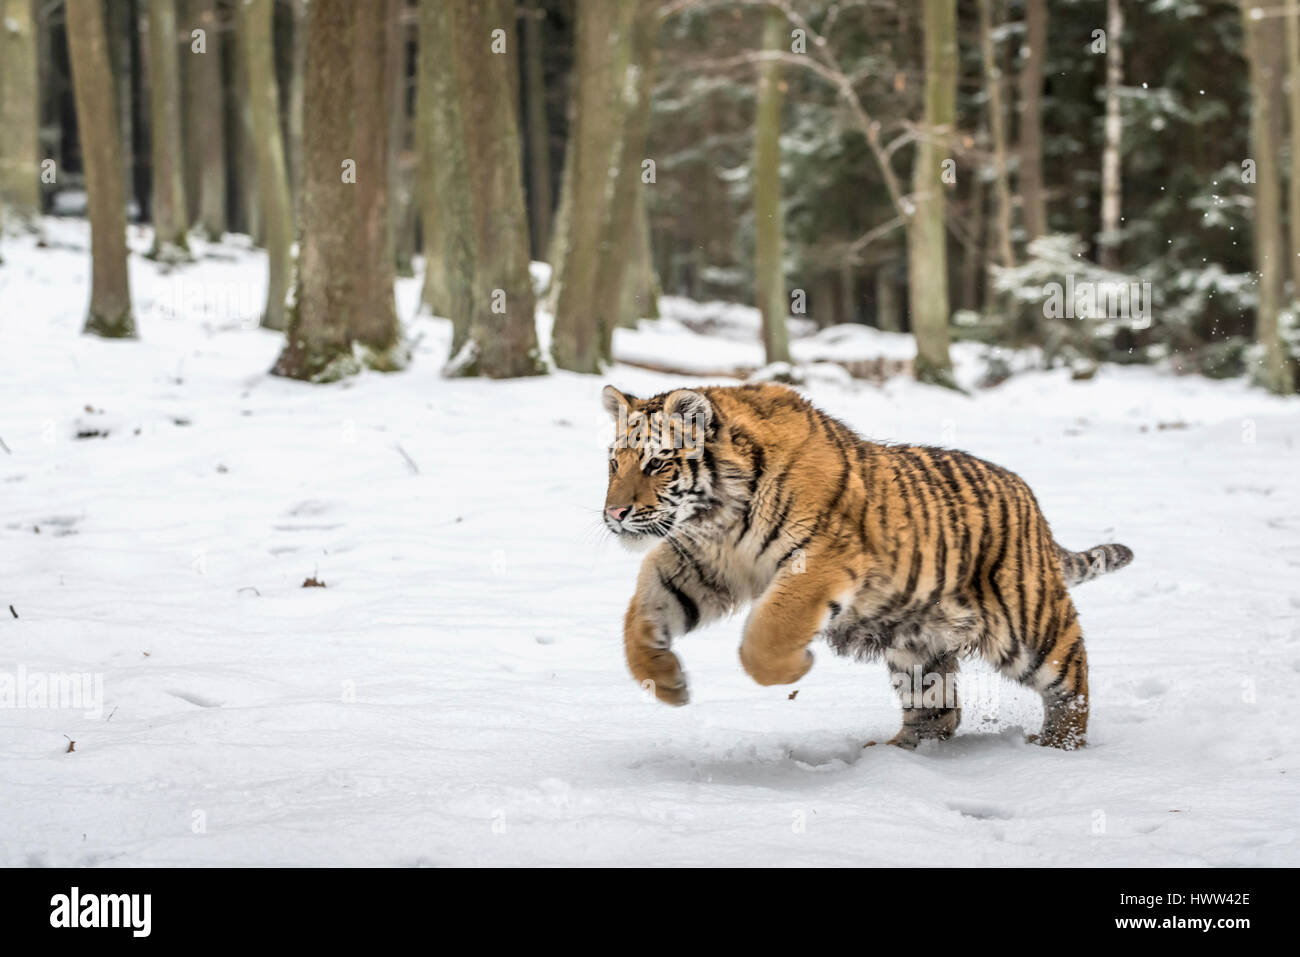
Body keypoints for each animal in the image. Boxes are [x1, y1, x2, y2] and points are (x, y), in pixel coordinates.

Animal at [603, 382, 1133, 748]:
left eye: (656, 465)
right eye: (614, 464)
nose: (615, 513)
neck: (718, 516)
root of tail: (1029, 498)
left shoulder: (818, 558)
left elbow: (768, 633)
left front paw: (795, 667)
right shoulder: (698, 562)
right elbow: (641, 612)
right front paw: (665, 683)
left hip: (1029, 623)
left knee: (1072, 680)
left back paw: (1056, 745)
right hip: (918, 646)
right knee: (937, 714)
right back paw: (897, 753)